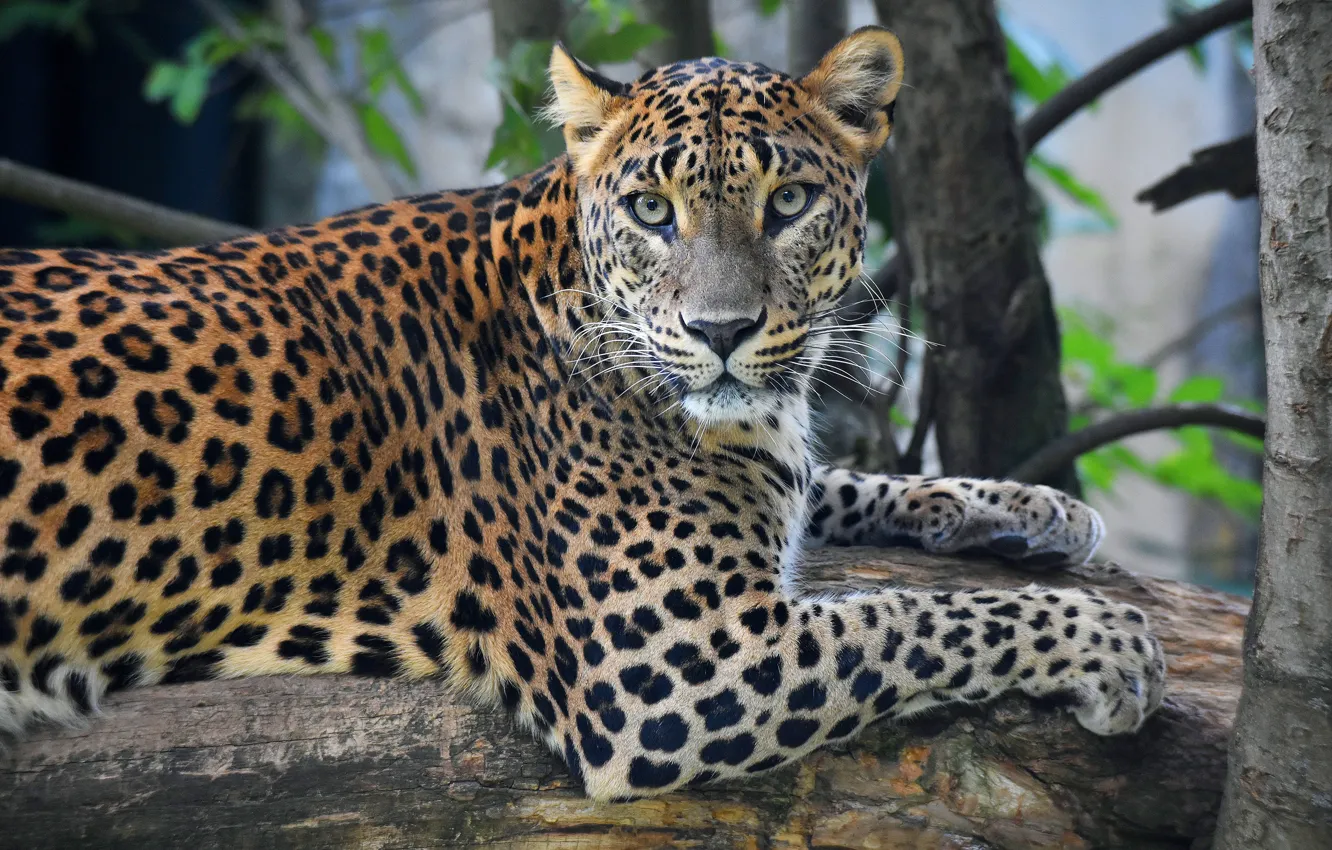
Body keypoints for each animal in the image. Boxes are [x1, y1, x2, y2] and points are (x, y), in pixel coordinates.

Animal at [0, 27, 1164, 800]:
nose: (722, 331)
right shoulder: (677, 665)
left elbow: (843, 486)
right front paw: (1107, 643)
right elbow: (914, 620)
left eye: (788, 203)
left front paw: (1032, 508)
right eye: (653, 211)